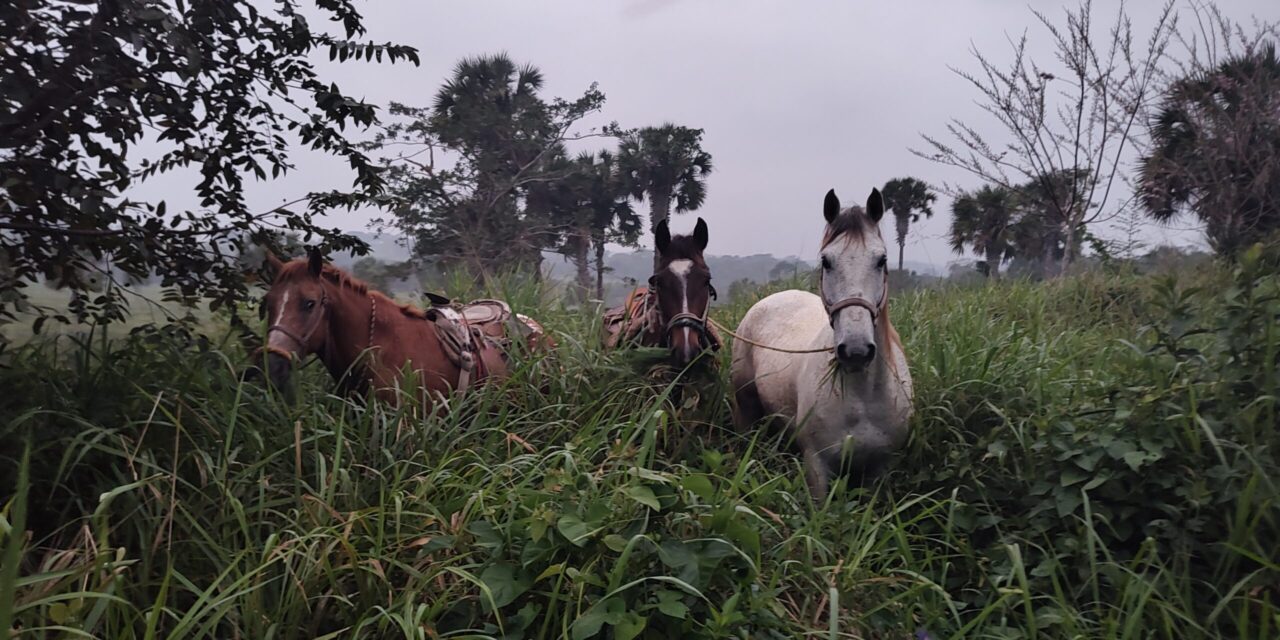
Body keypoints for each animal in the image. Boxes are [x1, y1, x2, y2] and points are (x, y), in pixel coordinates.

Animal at [730, 188, 913, 500]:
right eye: (827, 261)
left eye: (881, 260)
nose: (855, 351)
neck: (862, 398)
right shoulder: (817, 465)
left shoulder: (879, 469)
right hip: (746, 408)